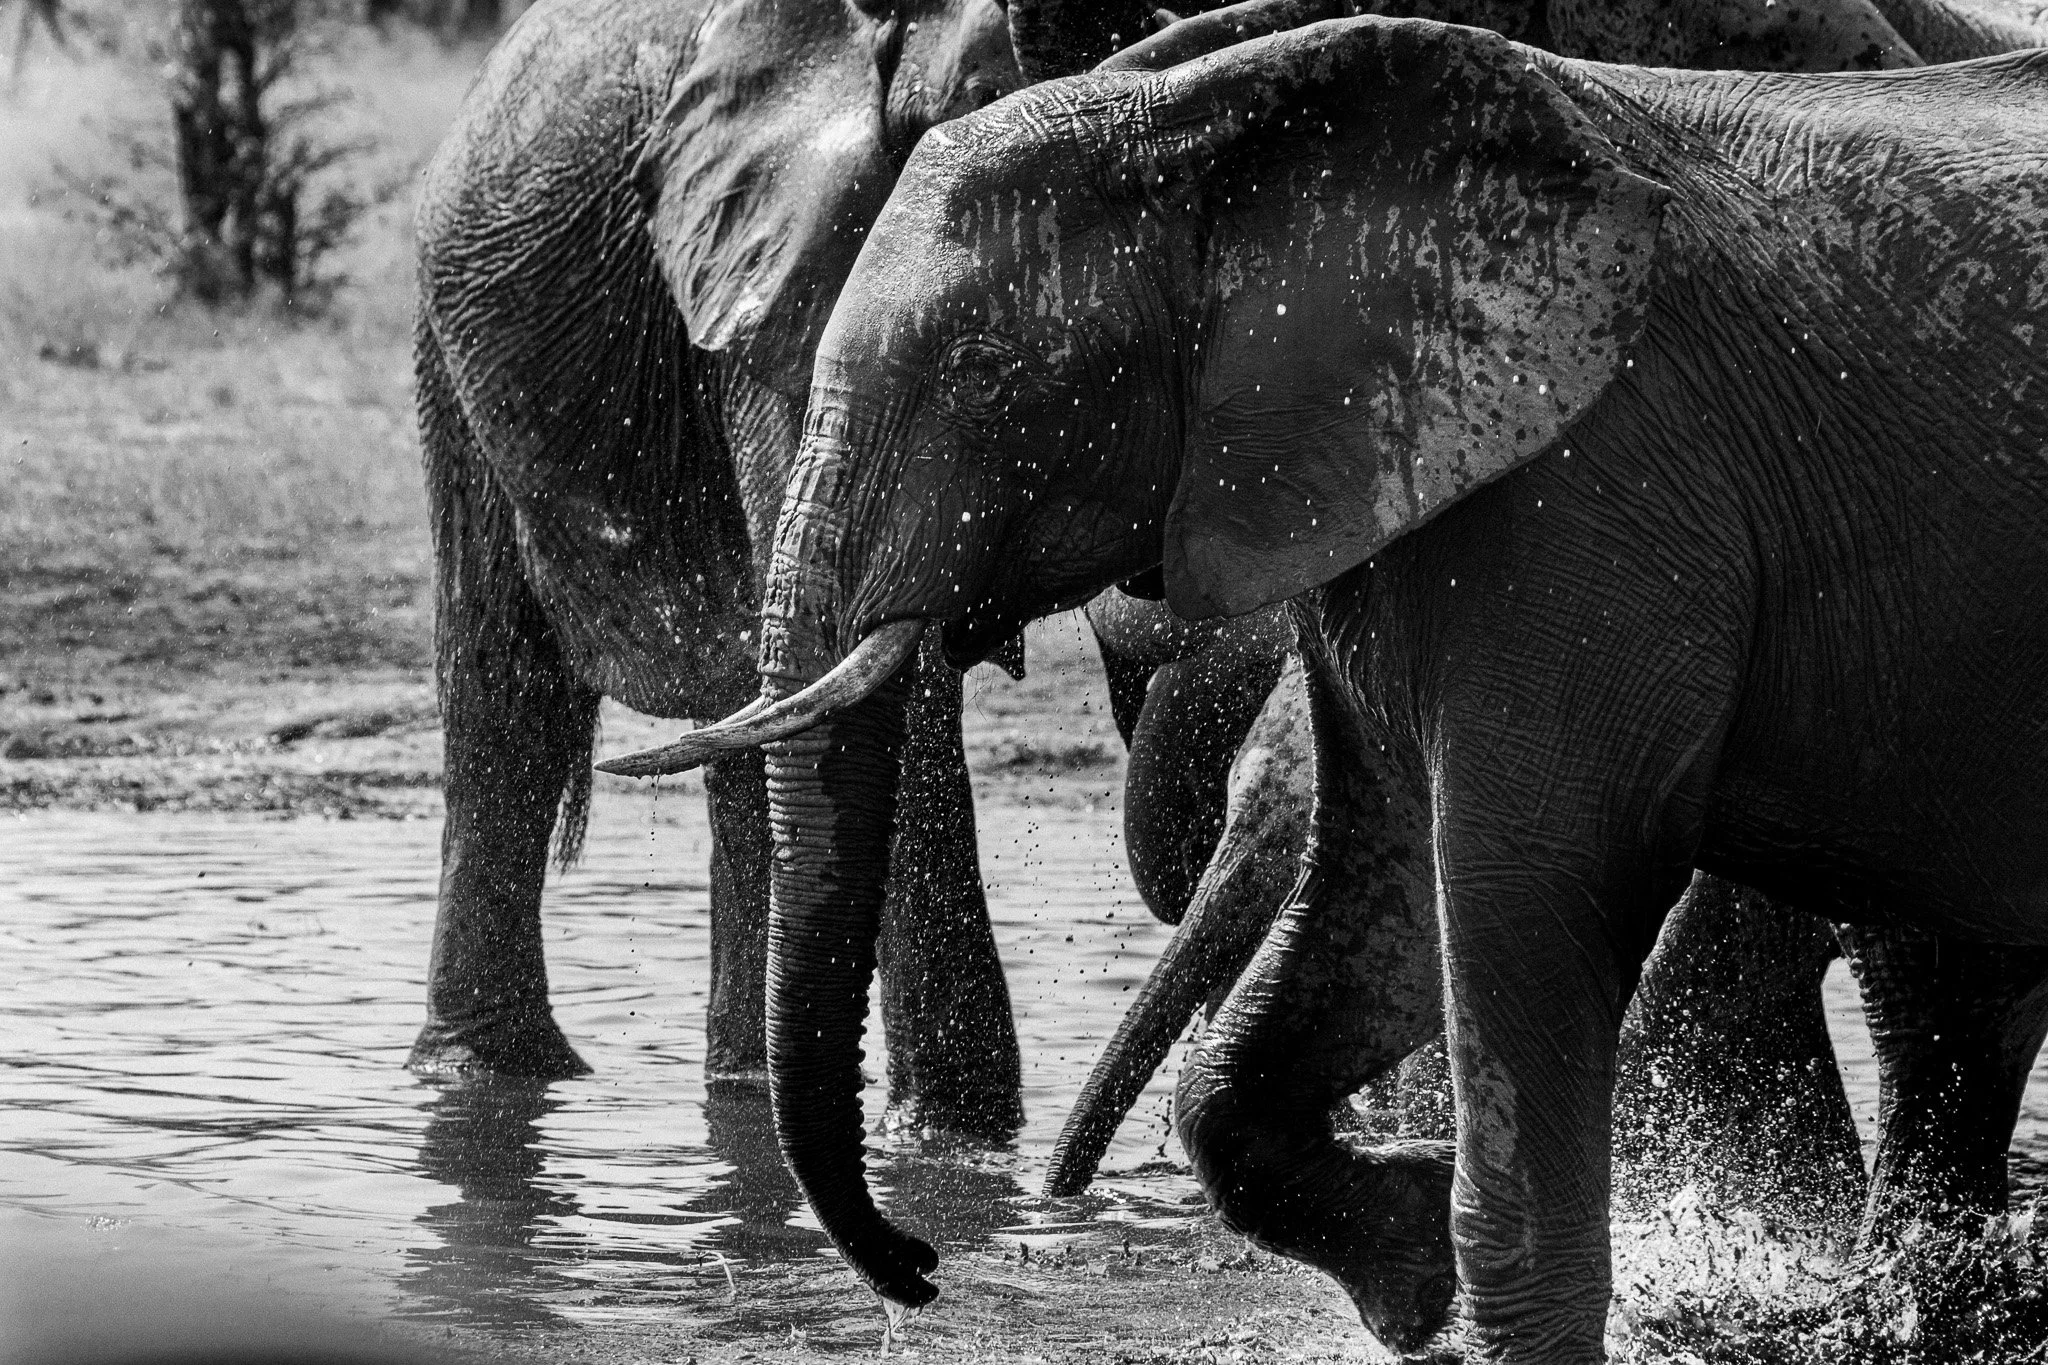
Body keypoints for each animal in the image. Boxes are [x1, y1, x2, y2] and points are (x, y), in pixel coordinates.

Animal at [603, 15, 2048, 1361]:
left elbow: (1530, 883)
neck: (1223, 129)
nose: (920, 1267)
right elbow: (1379, 902)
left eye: (987, 374)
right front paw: (1411, 1276)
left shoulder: (1601, 488)